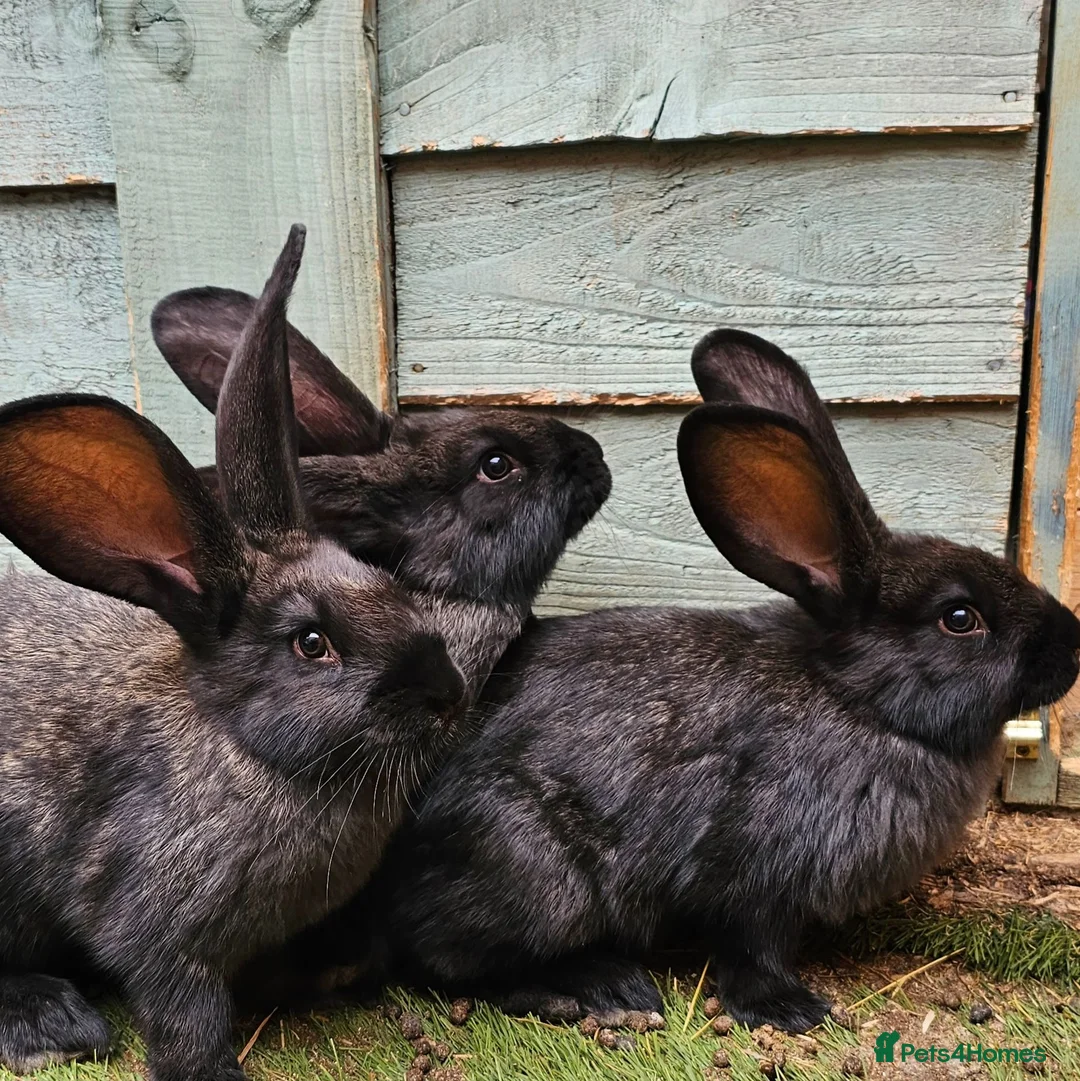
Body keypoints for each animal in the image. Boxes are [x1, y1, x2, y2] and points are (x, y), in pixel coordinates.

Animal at [0, 225, 474, 1080]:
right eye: (311, 643)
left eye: (382, 581)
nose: (446, 691)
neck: (248, 749)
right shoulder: (155, 924)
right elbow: (179, 1004)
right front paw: (211, 1068)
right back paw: (51, 1025)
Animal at [323, 328, 1080, 1035]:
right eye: (960, 618)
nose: (1072, 646)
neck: (858, 700)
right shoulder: (757, 875)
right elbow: (753, 948)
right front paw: (791, 1009)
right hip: (536, 874)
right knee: (448, 960)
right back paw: (598, 988)